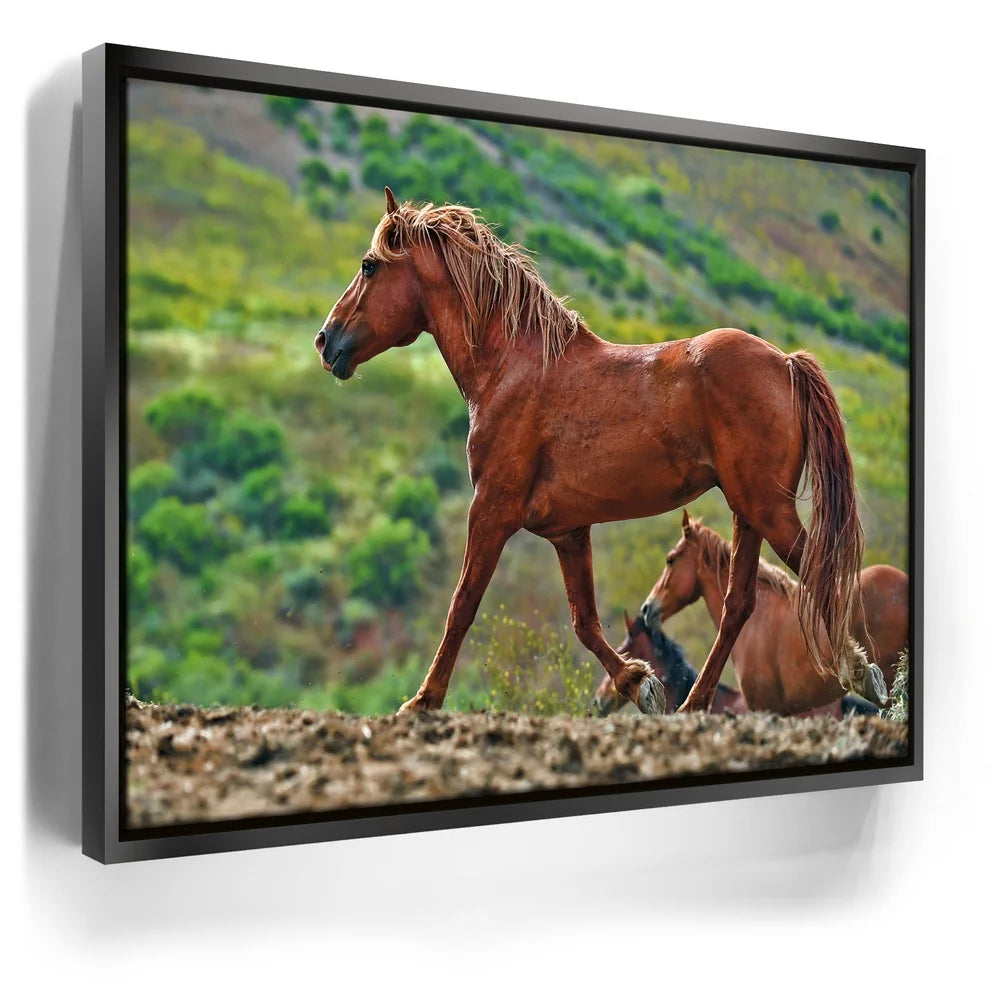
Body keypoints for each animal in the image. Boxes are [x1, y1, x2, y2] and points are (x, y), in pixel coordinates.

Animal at [316, 188, 871, 715]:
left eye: (369, 265)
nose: (325, 341)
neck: (511, 368)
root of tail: (786, 362)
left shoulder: (491, 511)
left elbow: (463, 604)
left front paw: (423, 700)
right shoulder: (568, 532)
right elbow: (585, 622)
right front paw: (639, 685)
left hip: (767, 509)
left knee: (820, 577)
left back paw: (861, 673)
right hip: (748, 513)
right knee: (740, 604)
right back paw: (695, 703)